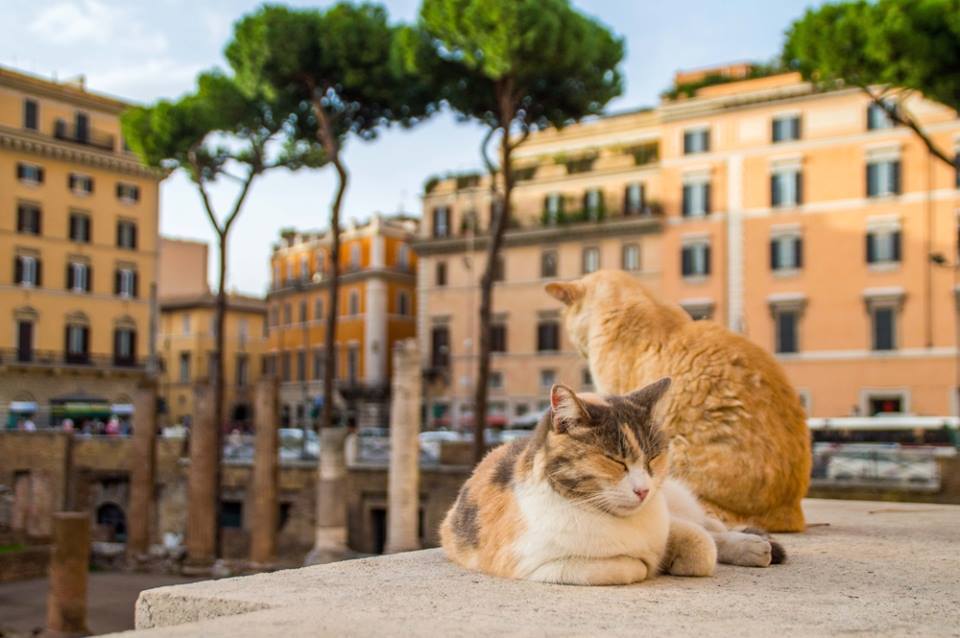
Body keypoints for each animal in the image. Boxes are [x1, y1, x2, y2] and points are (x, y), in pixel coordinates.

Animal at [440, 380, 780, 584]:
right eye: (616, 461)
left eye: (652, 458)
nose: (643, 490)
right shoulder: (544, 566)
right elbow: (632, 565)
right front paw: (656, 562)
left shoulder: (668, 521)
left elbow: (701, 544)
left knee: (710, 525)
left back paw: (753, 544)